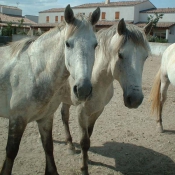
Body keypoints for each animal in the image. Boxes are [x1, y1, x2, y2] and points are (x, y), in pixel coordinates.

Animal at [0, 4, 100, 175]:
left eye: (95, 45)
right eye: (68, 43)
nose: (83, 89)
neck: (34, 72)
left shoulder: (46, 118)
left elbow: (48, 147)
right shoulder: (17, 119)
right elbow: (11, 153)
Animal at [58, 19, 151, 175]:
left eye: (146, 57)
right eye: (120, 55)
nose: (135, 99)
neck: (96, 79)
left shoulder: (97, 110)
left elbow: (89, 136)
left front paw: (85, 158)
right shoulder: (81, 112)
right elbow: (84, 141)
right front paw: (84, 168)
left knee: (64, 116)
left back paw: (70, 145)